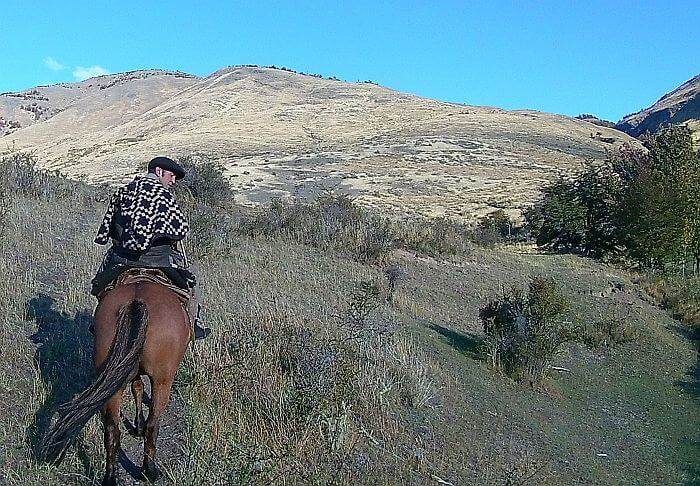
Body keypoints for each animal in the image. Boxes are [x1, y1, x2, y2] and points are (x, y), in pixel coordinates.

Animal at [43, 270, 191, 486]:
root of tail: (137, 301)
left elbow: (137, 388)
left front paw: (136, 425)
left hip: (111, 379)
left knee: (112, 430)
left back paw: (110, 477)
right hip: (162, 379)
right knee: (153, 424)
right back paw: (149, 471)